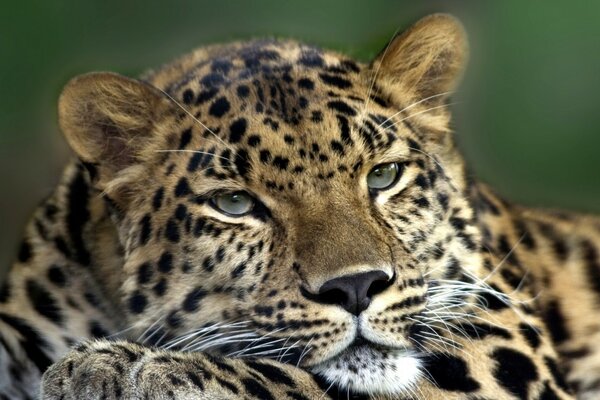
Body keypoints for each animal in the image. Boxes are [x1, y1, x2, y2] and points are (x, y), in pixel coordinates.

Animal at [1, 14, 600, 398]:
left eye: (383, 175)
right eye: (235, 203)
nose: (356, 288)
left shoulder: (501, 339)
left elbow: (293, 377)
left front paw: (127, 369)